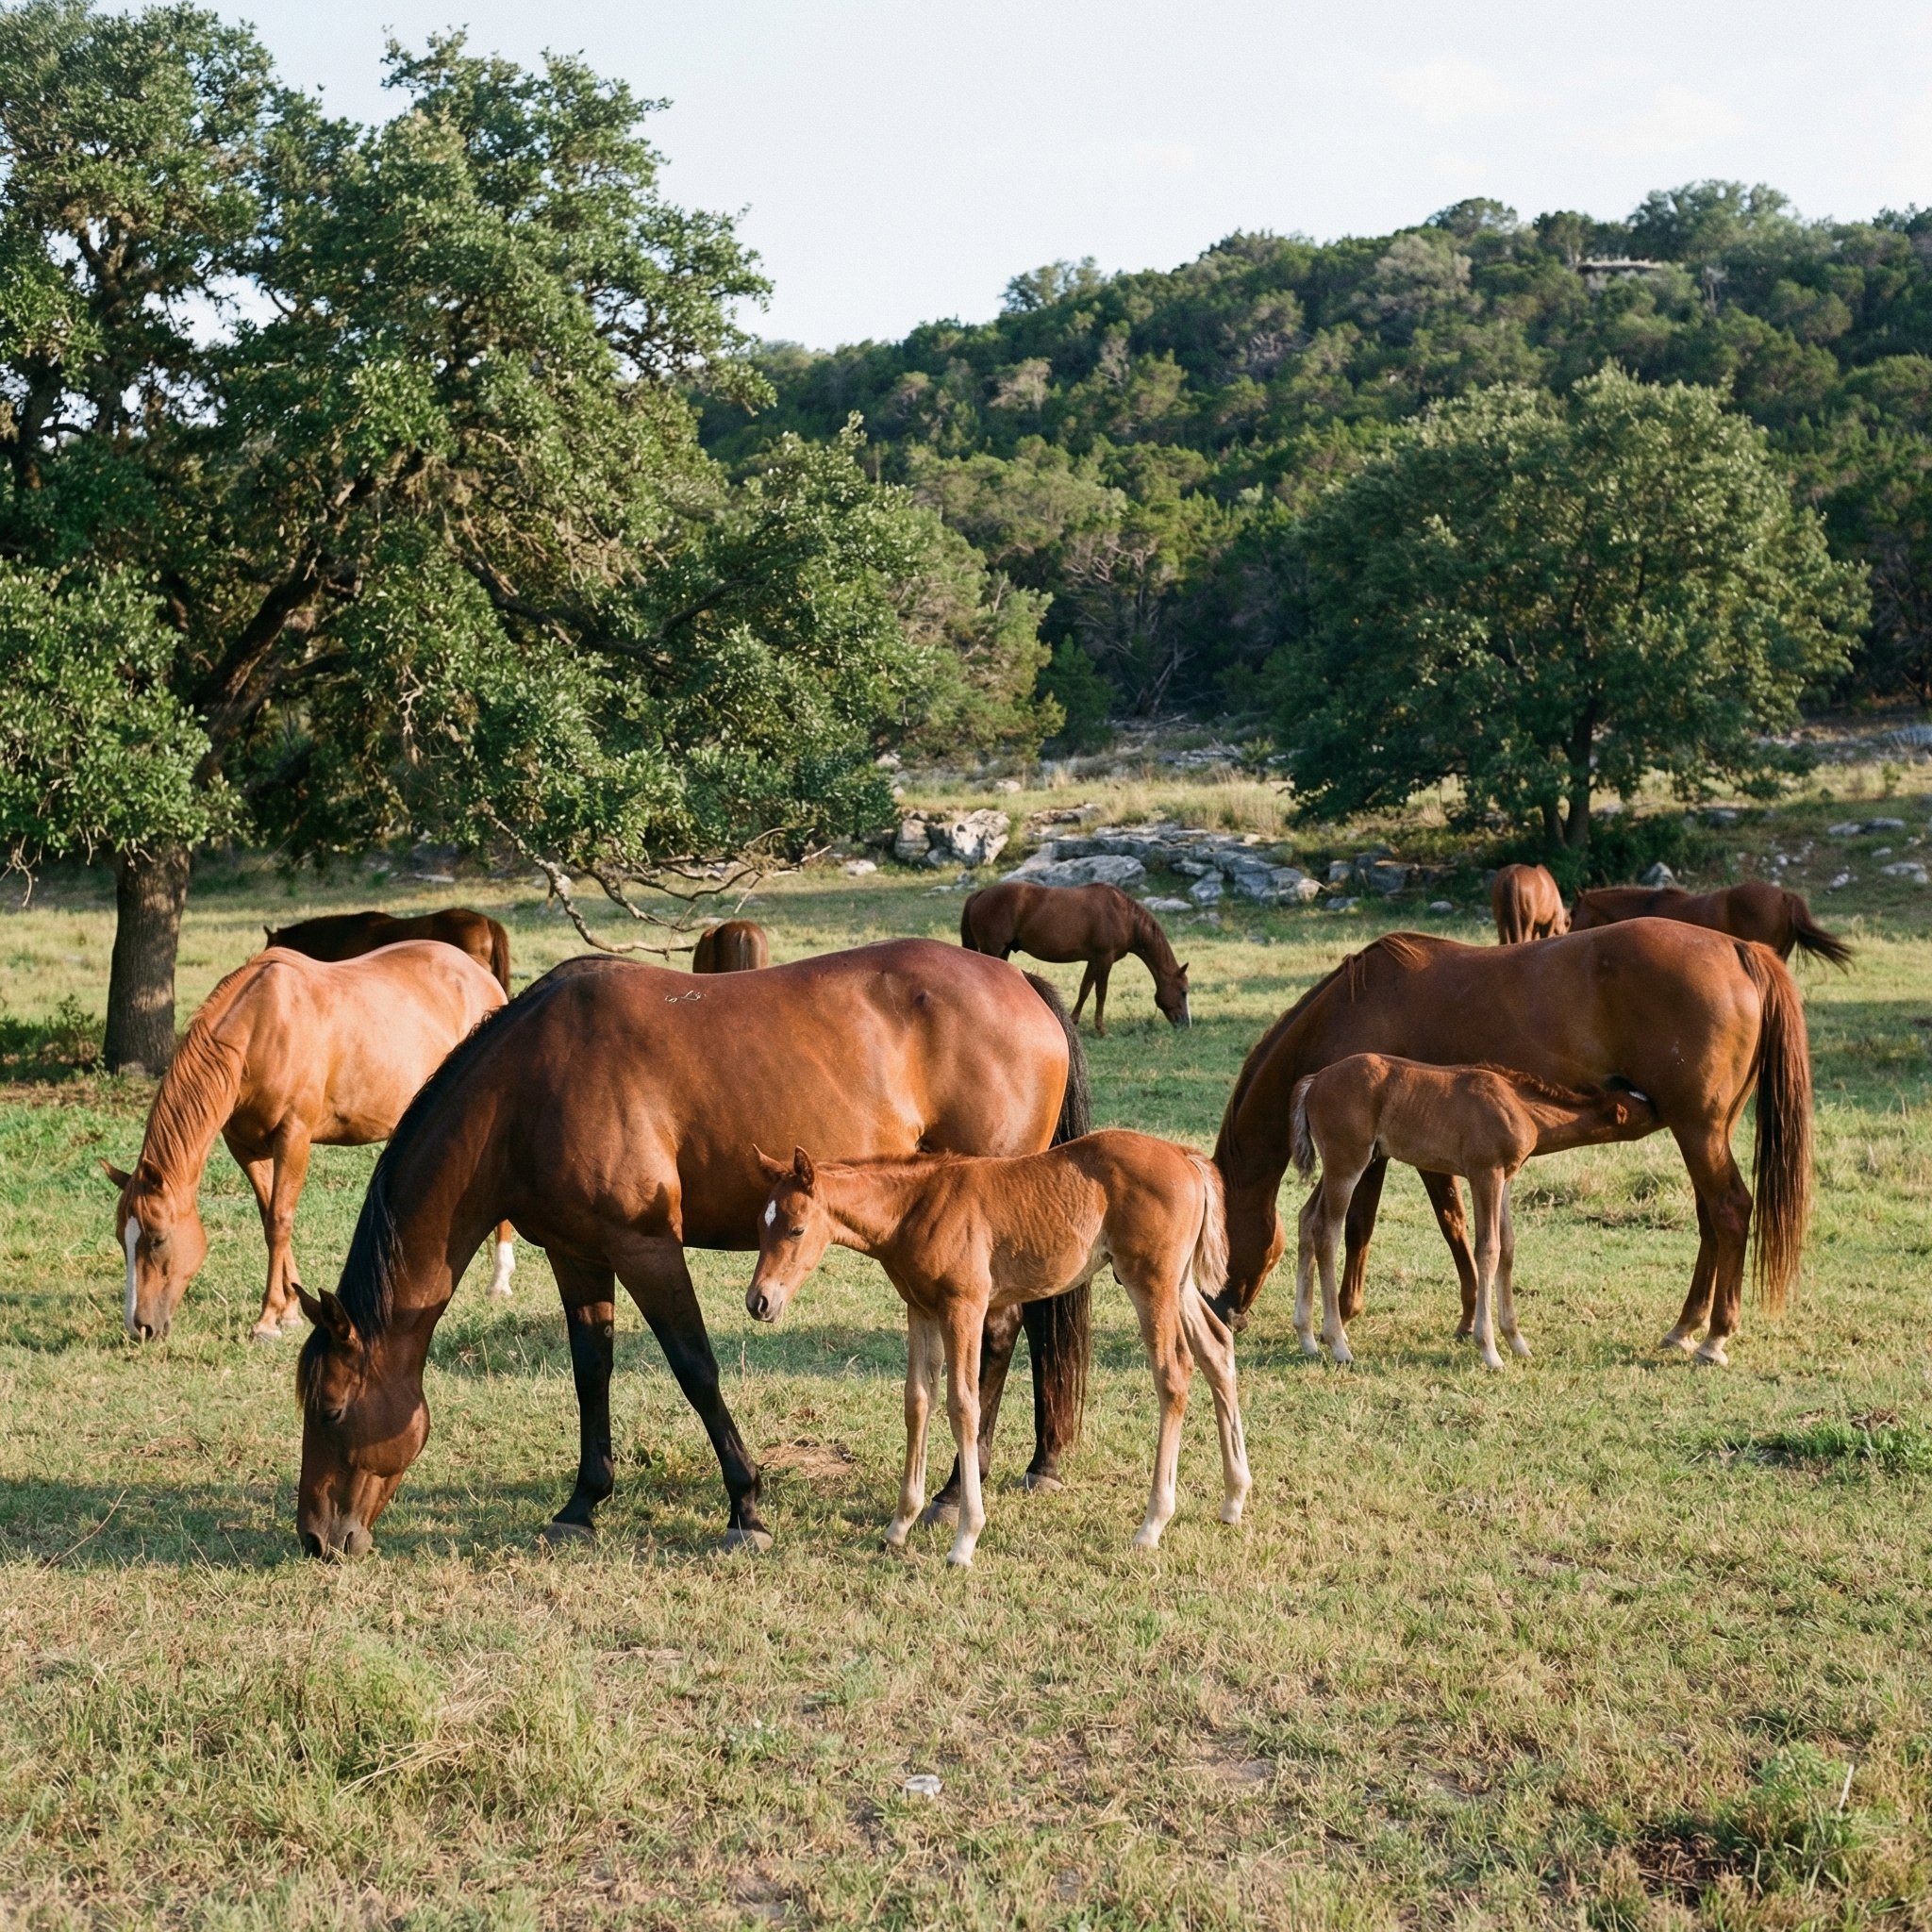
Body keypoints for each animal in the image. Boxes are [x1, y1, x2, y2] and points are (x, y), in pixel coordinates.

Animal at [103, 944, 515, 1343]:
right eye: (122, 1238)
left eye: (158, 1239)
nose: (139, 1327)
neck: (259, 1029)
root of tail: (479, 972)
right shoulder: (245, 1148)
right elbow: (269, 1216)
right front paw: (289, 1309)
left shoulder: (294, 1137)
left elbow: (279, 1221)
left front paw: (268, 1319)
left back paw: (500, 1280)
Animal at [292, 940, 1091, 1558]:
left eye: (329, 1411)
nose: (316, 1539)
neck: (530, 1086)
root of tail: (1020, 983)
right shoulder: (577, 1254)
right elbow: (591, 1371)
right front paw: (582, 1503)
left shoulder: (646, 1248)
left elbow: (695, 1368)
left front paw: (746, 1508)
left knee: (995, 1335)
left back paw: (956, 1492)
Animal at [746, 1135, 1249, 1565]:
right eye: (759, 1227)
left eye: (796, 1230)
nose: (759, 1301)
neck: (915, 1208)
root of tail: (1184, 1155)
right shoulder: (921, 1311)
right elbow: (918, 1401)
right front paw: (899, 1525)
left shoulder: (964, 1307)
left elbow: (963, 1405)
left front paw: (965, 1539)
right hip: (1178, 1284)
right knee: (1217, 1349)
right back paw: (1233, 1498)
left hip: (1151, 1282)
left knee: (1173, 1374)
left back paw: (1152, 1525)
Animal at [961, 881, 1189, 1036]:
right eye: (1183, 991)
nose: (1186, 1024)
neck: (1122, 915)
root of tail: (981, 893)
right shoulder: (1105, 959)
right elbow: (1101, 993)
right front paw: (1102, 1030)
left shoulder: (1094, 960)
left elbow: (1085, 989)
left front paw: (1073, 1022)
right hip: (993, 949)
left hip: (1003, 951)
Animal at [1289, 1056, 1655, 1368]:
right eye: (1643, 1107)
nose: (1661, 1106)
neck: (1522, 1106)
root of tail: (1315, 1080)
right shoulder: (1485, 1173)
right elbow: (1488, 1250)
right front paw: (1490, 1350)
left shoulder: (1505, 1178)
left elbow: (1508, 1248)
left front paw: (1518, 1343)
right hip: (1347, 1163)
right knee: (1327, 1232)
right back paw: (1338, 1344)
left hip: (1342, 1165)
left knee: (1307, 1219)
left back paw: (1307, 1339)